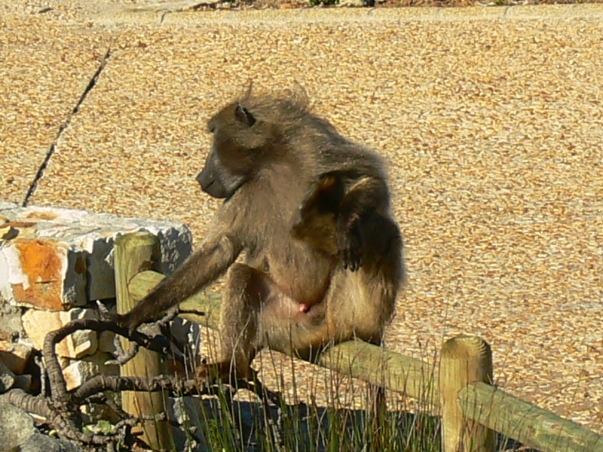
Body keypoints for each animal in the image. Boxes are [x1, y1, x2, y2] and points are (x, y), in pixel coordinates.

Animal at [115, 89, 405, 383]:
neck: (270, 163)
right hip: (282, 323)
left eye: (214, 137)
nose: (200, 177)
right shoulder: (242, 194)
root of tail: (328, 325)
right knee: (241, 275)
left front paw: (345, 225)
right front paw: (139, 312)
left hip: (344, 306)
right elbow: (220, 249)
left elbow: (369, 178)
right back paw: (231, 367)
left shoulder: (314, 147)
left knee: (379, 226)